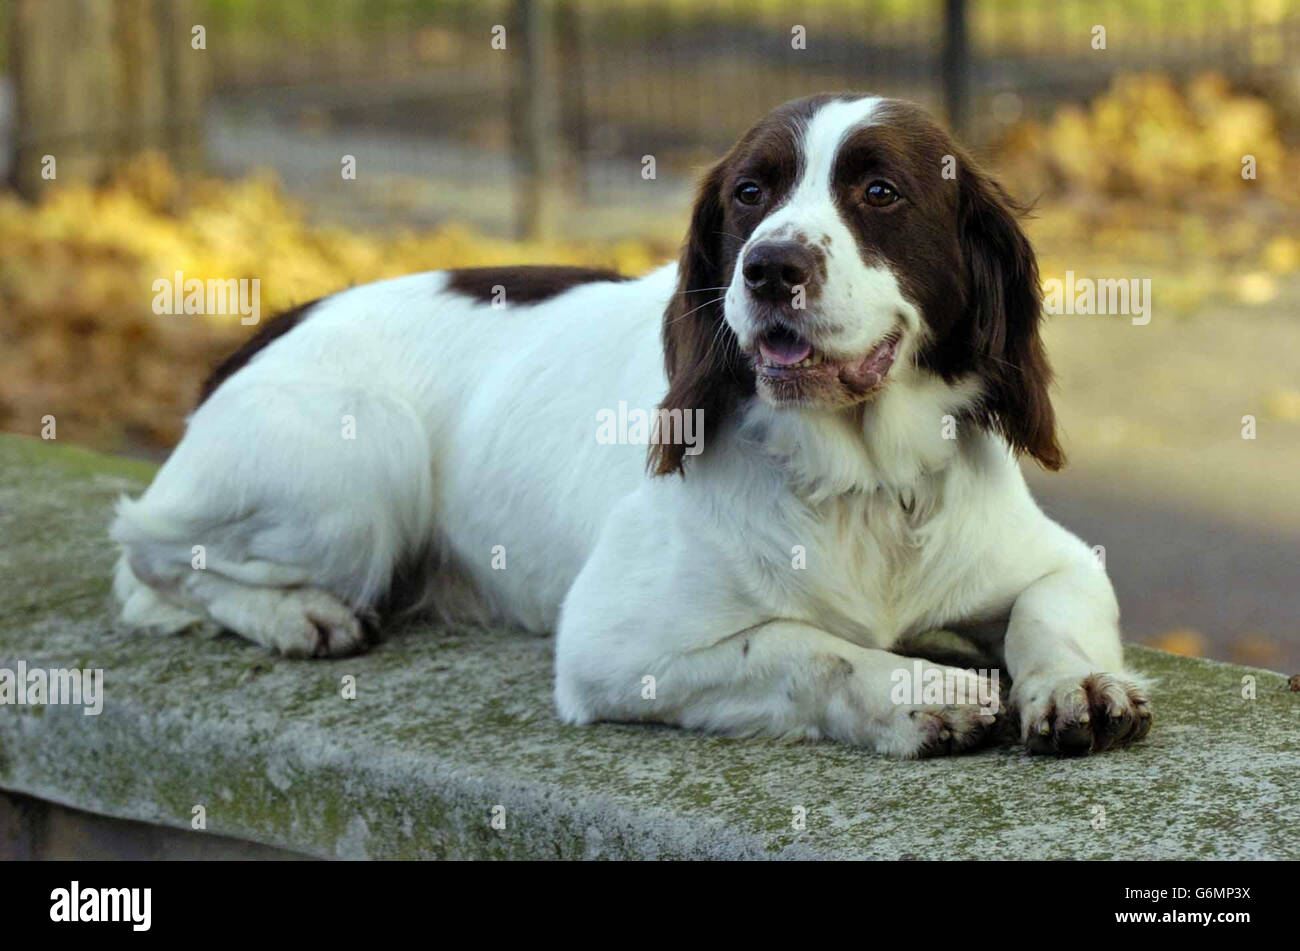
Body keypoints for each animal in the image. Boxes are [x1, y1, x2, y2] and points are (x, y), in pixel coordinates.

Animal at [111, 90, 1149, 758]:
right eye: (749, 194)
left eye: (881, 192)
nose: (768, 268)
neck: (856, 478)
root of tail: (276, 319)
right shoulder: (611, 647)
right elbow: (798, 644)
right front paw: (916, 691)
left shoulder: (1053, 559)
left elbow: (1052, 610)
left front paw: (1076, 685)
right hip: (365, 454)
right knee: (148, 551)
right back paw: (299, 613)